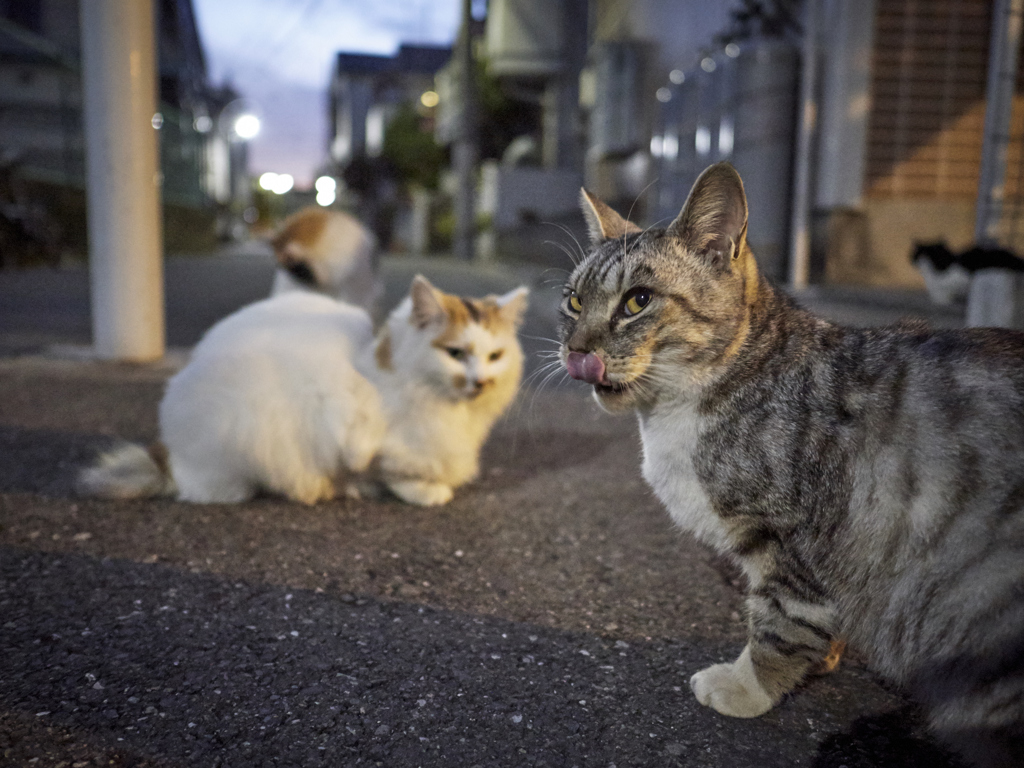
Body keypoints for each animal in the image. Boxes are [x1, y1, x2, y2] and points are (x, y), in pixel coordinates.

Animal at [77, 274, 528, 507]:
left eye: (495, 356)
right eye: (455, 353)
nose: (480, 382)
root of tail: (168, 450)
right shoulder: (362, 433)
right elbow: (388, 470)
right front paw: (426, 492)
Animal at [565, 160, 1024, 765]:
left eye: (638, 301)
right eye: (573, 301)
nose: (574, 350)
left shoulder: (796, 543)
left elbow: (778, 624)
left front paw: (748, 686)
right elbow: (819, 622)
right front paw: (822, 659)